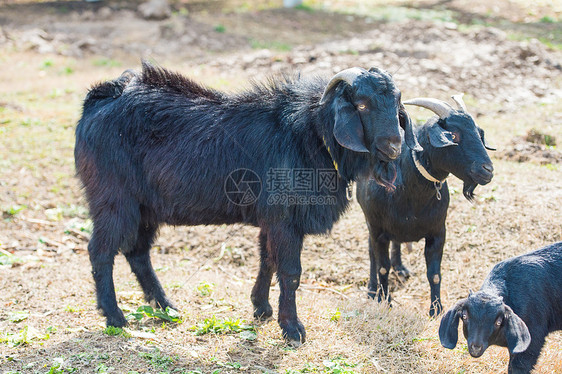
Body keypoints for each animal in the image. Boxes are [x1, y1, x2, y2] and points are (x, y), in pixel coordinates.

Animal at [73, 60, 420, 344]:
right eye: (360, 105)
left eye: (396, 103)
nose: (393, 144)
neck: (309, 136)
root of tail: (98, 100)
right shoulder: (284, 219)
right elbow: (290, 271)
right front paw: (292, 330)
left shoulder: (271, 218)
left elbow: (267, 260)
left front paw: (261, 309)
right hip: (114, 199)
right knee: (101, 250)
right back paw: (115, 317)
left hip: (146, 208)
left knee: (137, 252)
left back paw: (167, 307)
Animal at [356, 95, 492, 316]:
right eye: (453, 135)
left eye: (479, 133)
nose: (488, 170)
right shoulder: (378, 229)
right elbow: (382, 266)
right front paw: (385, 301)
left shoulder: (438, 232)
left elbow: (434, 274)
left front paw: (436, 309)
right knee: (372, 252)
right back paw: (371, 289)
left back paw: (400, 268)